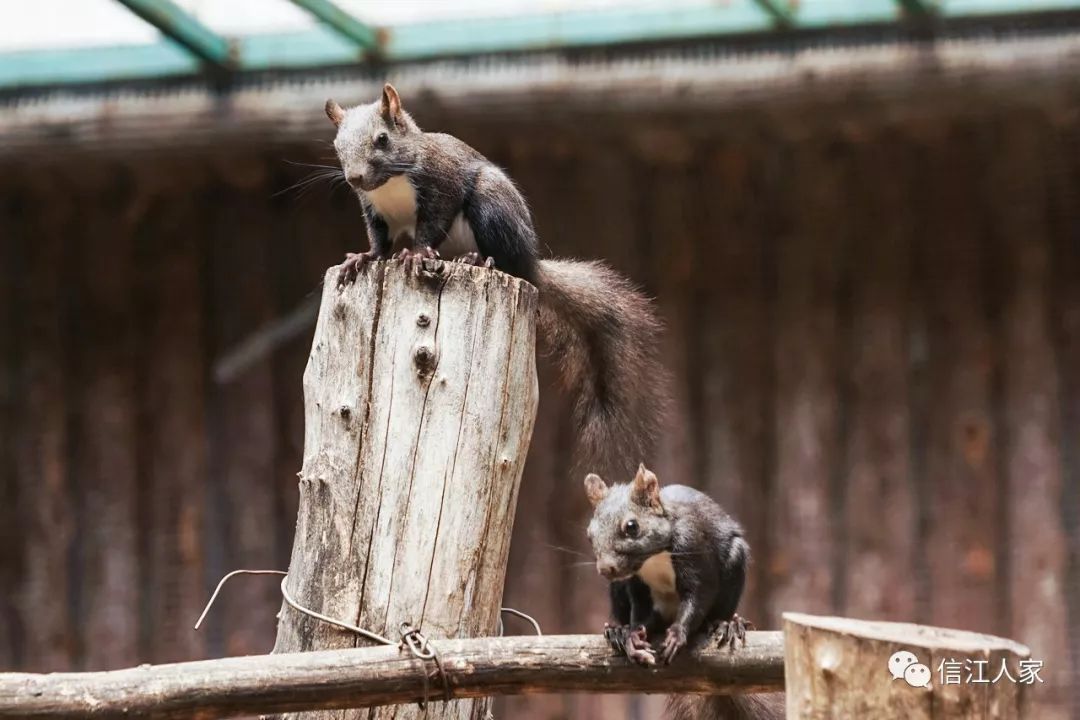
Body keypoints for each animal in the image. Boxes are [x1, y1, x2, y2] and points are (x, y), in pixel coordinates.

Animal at [326, 84, 665, 474]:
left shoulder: (442, 186)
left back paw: (478, 259)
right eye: (337, 145)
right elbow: (379, 242)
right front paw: (362, 259)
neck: (391, 187)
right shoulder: (375, 211)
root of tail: (532, 266)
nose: (355, 178)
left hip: (491, 203)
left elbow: (431, 226)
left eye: (382, 139)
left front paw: (416, 254)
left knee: (505, 260)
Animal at [583, 468, 786, 720]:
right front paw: (632, 638)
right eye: (589, 534)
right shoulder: (638, 587)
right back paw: (617, 631)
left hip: (735, 564)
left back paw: (727, 624)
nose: (605, 569)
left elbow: (697, 597)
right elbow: (640, 613)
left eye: (632, 526)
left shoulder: (693, 549)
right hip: (617, 589)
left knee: (716, 613)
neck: (652, 558)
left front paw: (677, 634)